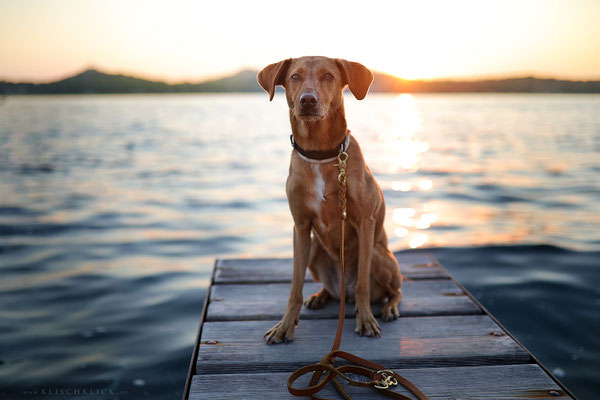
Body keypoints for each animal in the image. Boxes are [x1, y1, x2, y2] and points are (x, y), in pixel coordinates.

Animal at [255, 55, 400, 344]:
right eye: (295, 77)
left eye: (328, 76)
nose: (307, 100)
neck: (320, 153)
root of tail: (343, 290)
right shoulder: (300, 227)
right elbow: (294, 287)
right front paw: (285, 325)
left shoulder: (365, 223)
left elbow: (363, 286)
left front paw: (366, 319)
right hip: (314, 249)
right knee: (330, 290)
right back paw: (321, 296)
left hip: (379, 255)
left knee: (392, 291)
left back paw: (388, 307)